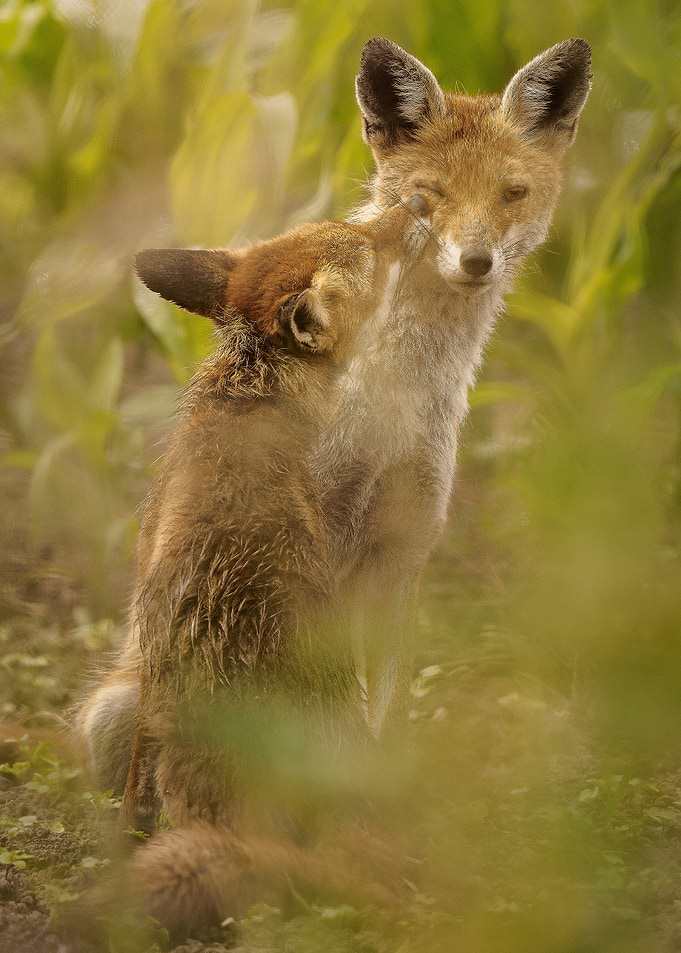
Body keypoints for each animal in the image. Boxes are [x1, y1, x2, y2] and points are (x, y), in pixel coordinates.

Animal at [74, 35, 591, 934]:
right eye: (427, 196)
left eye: (511, 194)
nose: (474, 259)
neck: (385, 405)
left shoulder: (401, 554)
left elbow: (382, 719)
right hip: (118, 711)